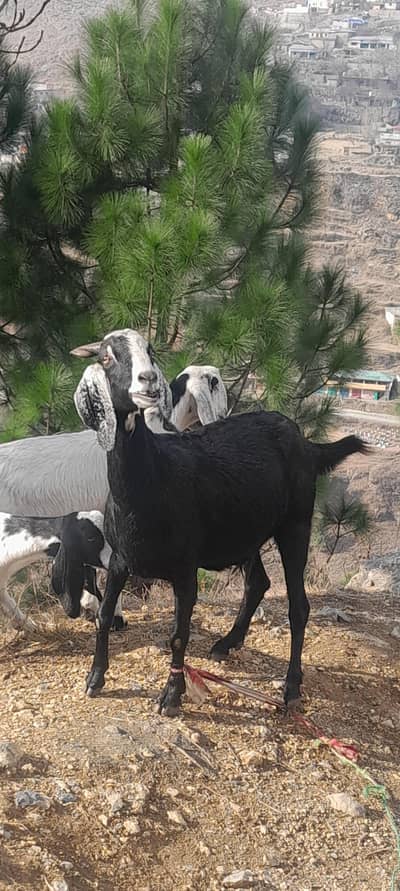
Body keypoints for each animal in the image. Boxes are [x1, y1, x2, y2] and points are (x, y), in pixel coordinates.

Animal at [71, 329, 367, 717]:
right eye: (107, 357)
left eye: (151, 352)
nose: (147, 380)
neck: (154, 477)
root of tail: (306, 442)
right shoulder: (121, 559)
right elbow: (104, 615)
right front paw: (95, 678)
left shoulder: (185, 568)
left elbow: (178, 634)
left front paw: (172, 695)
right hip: (246, 530)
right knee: (258, 582)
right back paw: (228, 643)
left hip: (295, 523)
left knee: (299, 607)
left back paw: (290, 687)